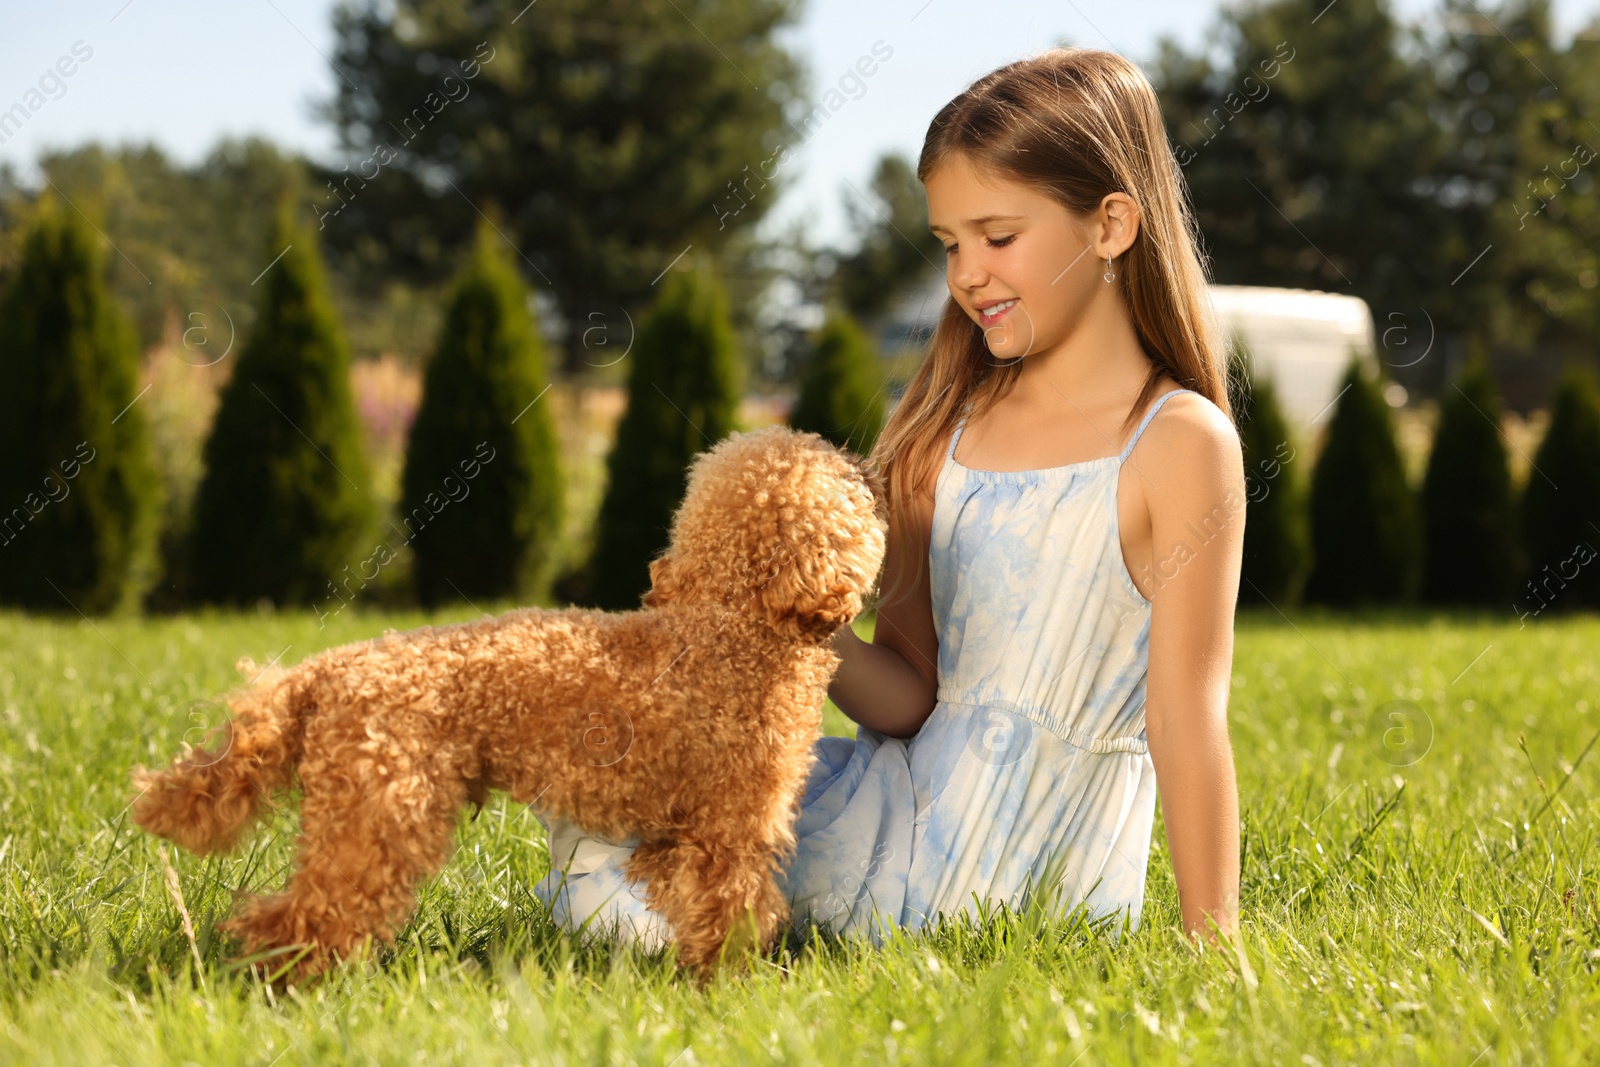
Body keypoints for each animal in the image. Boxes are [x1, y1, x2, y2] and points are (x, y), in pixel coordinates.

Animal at [132, 428, 889, 985]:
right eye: (843, 480)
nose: (869, 466)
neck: (728, 625)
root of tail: (329, 669)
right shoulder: (728, 831)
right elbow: (735, 911)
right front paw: (732, 986)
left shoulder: (675, 839)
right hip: (382, 812)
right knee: (308, 912)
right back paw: (284, 981)